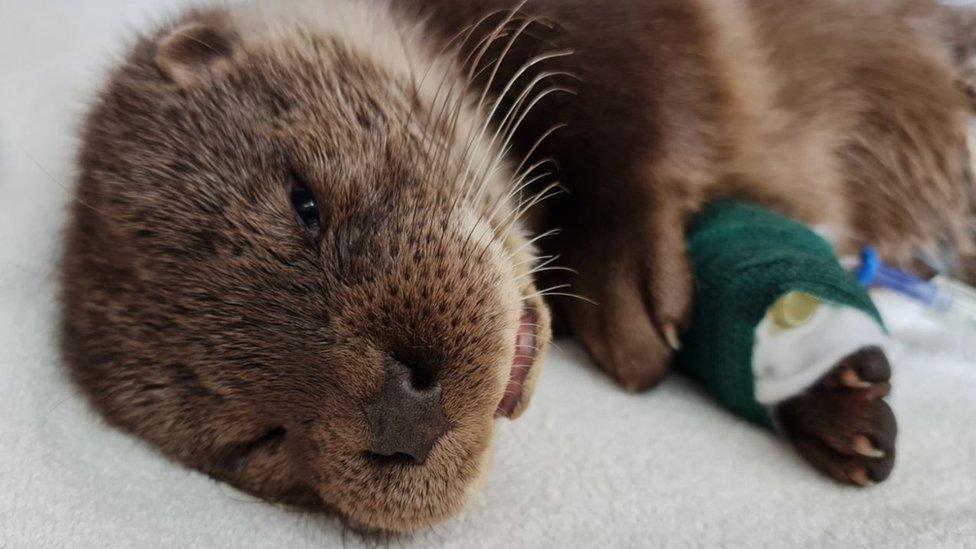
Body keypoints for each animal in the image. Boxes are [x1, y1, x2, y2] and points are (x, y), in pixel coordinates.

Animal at [59, 0, 976, 532]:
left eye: (303, 201)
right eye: (256, 441)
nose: (401, 409)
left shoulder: (624, 31)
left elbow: (648, 88)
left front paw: (626, 281)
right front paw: (838, 404)